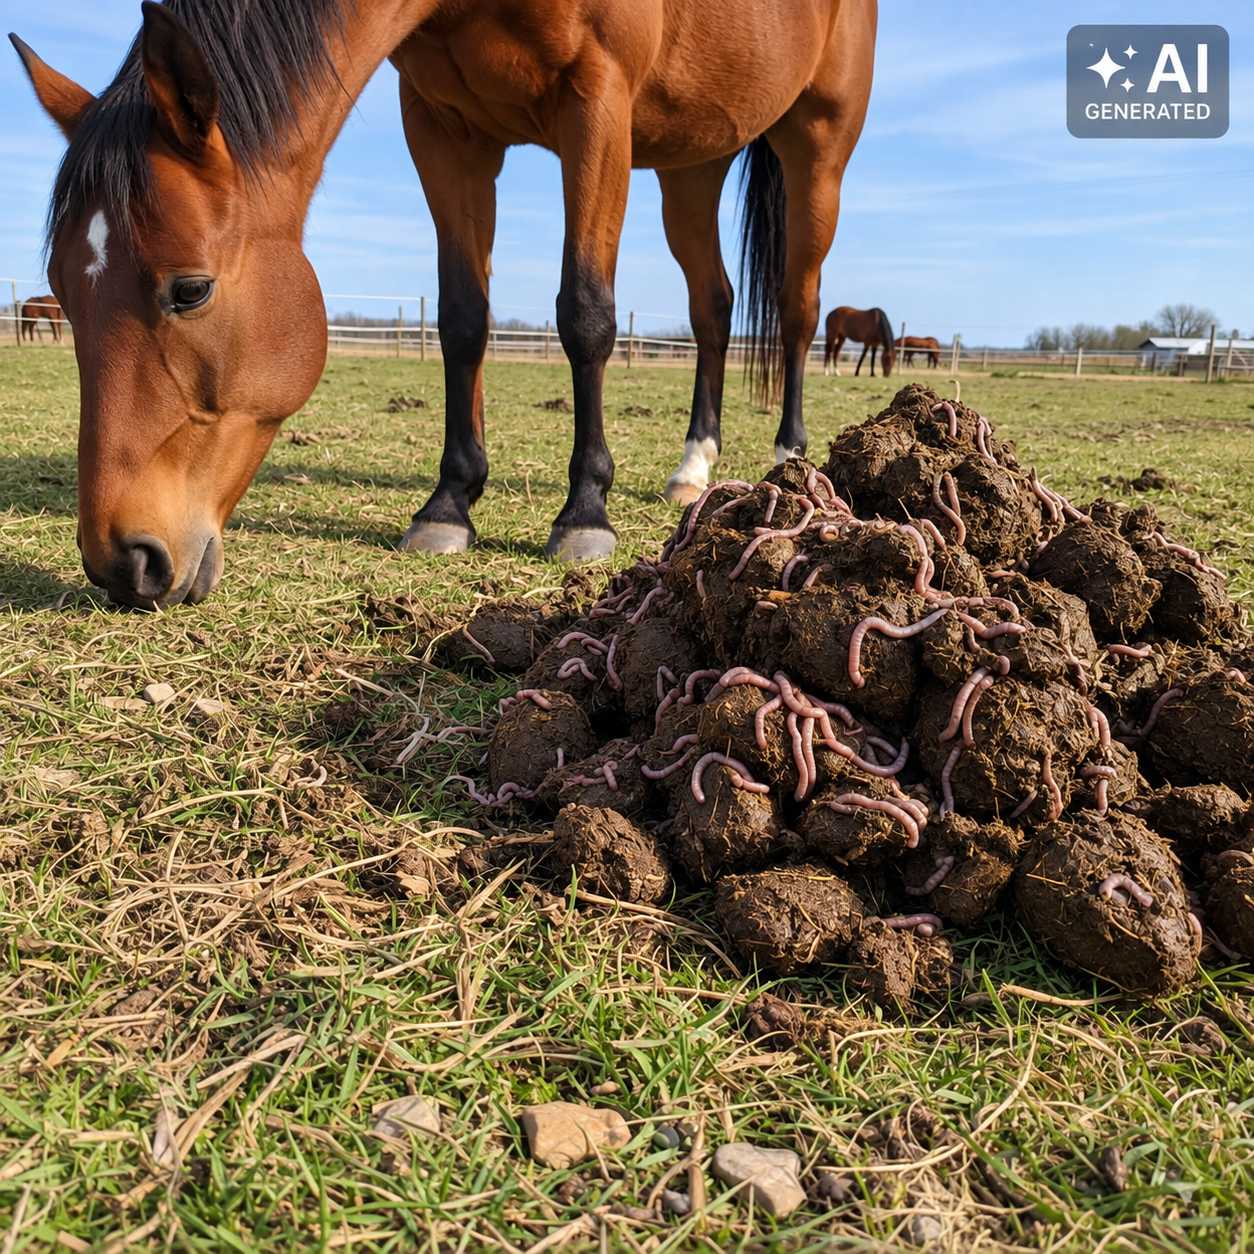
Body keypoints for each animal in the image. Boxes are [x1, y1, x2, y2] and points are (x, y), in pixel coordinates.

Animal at [11, 0, 875, 608]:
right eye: (64, 294)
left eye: (189, 290)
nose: (122, 561)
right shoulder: (441, 126)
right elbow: (462, 319)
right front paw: (450, 504)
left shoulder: (598, 105)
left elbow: (585, 313)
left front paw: (584, 513)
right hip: (691, 160)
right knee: (713, 307)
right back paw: (693, 465)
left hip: (816, 150)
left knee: (797, 307)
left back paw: (788, 455)